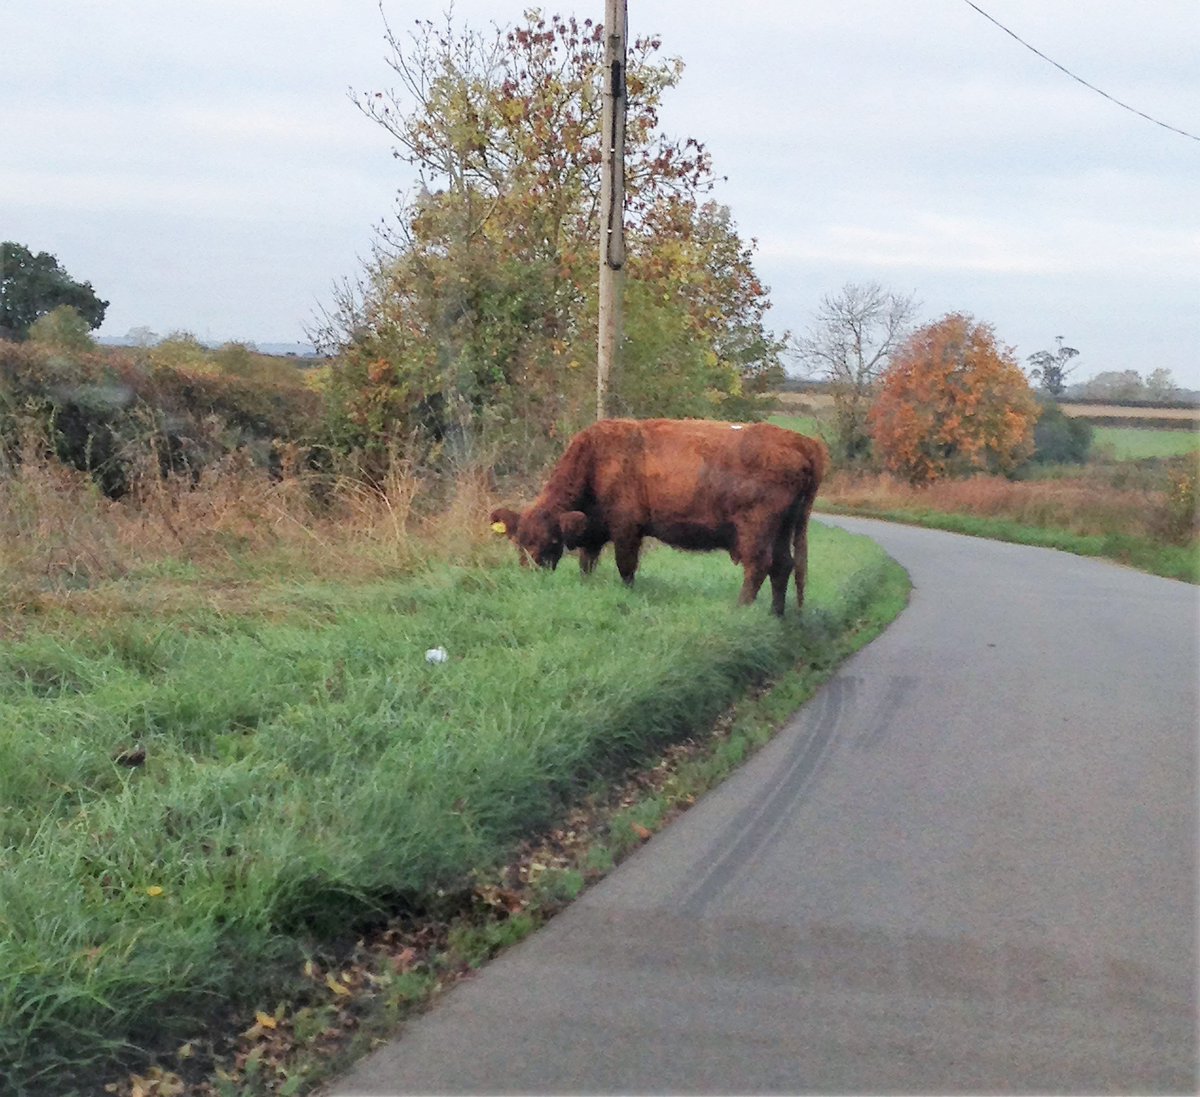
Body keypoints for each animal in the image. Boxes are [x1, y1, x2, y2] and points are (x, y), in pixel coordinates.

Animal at [487, 415, 825, 612]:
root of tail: (801, 441)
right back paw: (776, 615)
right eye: (519, 543)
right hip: (785, 528)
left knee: (759, 566)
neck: (597, 459)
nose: (532, 575)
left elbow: (625, 567)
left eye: (552, 542)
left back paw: (740, 610)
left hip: (756, 529)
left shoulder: (626, 529)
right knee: (783, 566)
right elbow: (587, 564)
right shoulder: (594, 533)